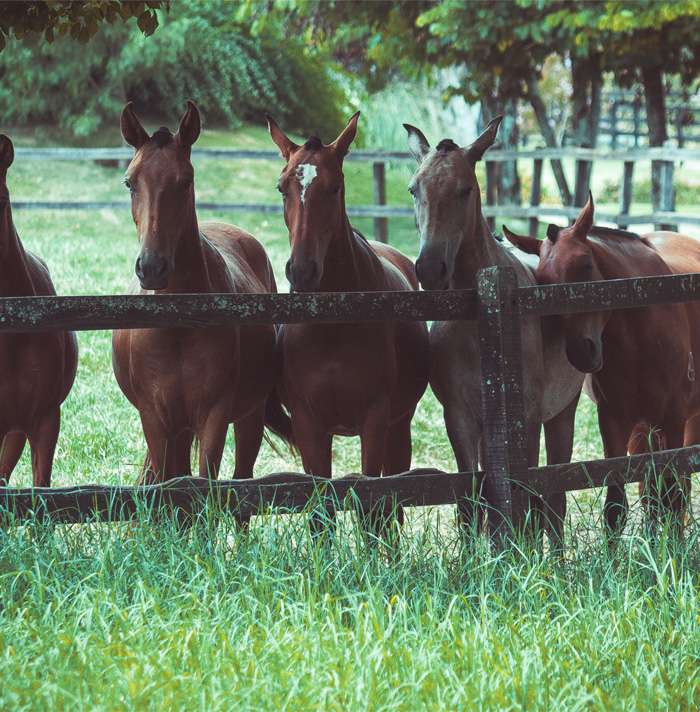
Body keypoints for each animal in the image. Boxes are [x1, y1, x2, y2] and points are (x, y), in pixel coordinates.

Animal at [113, 101, 288, 484]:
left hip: (248, 416)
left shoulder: (214, 415)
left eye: (186, 180)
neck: (180, 324)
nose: (152, 267)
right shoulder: (156, 419)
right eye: (129, 182)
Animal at [266, 111, 430, 536]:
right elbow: (320, 513)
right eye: (281, 188)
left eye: (335, 187)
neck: (333, 326)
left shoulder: (375, 418)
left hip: (398, 428)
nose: (302, 270)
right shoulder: (308, 424)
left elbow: (372, 507)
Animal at [403, 118, 584, 543]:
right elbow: (471, 502)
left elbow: (528, 502)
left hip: (562, 412)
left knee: (555, 501)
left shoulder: (527, 417)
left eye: (466, 189)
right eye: (414, 189)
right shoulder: (460, 416)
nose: (430, 268)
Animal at [504, 195, 700, 533]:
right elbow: (617, 506)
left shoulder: (673, 419)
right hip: (643, 429)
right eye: (542, 281)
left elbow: (673, 498)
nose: (581, 353)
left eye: (585, 264)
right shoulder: (614, 421)